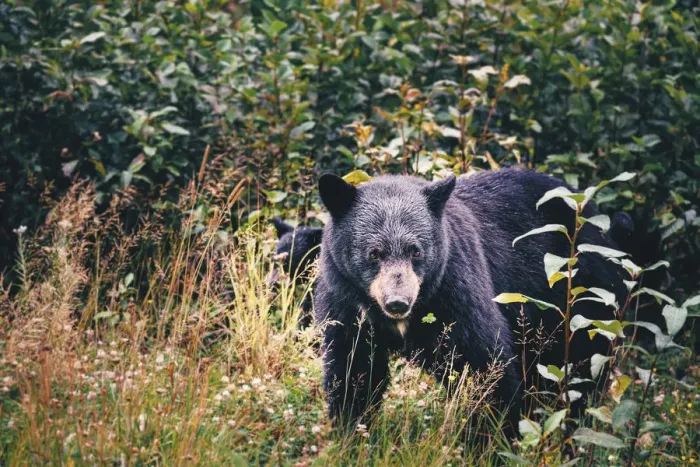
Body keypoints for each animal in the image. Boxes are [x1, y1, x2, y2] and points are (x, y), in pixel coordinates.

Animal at [314, 169, 628, 433]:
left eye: (416, 251)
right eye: (374, 253)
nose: (397, 303)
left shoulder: (456, 288)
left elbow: (484, 363)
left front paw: (494, 437)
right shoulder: (345, 301)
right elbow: (353, 370)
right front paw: (350, 432)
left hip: (586, 300)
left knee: (583, 369)